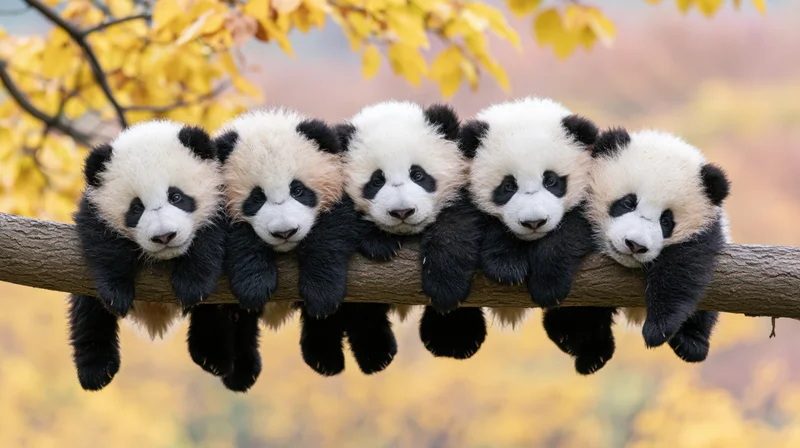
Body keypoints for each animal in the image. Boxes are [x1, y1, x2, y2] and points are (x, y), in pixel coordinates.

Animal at [69, 120, 226, 391]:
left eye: (176, 196)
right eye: (136, 208)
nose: (164, 237)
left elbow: (213, 237)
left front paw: (192, 284)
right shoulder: (92, 210)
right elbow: (103, 243)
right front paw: (117, 292)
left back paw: (213, 354)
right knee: (88, 315)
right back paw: (97, 371)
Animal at [194, 108, 397, 383]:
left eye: (298, 190)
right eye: (257, 197)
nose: (284, 232)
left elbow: (333, 230)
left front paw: (321, 291)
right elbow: (236, 238)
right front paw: (254, 283)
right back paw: (218, 359)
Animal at [336, 100, 487, 360]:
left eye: (418, 174)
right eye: (377, 181)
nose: (402, 212)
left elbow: (457, 222)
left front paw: (445, 285)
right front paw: (379, 242)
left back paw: (454, 338)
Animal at [459, 97, 609, 374]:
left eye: (551, 180)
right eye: (508, 185)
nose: (534, 222)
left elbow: (573, 229)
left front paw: (548, 283)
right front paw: (506, 267)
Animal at [565, 128, 731, 364]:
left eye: (666, 221)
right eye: (628, 202)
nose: (635, 245)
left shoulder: (706, 233)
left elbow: (683, 268)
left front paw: (657, 329)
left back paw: (691, 343)